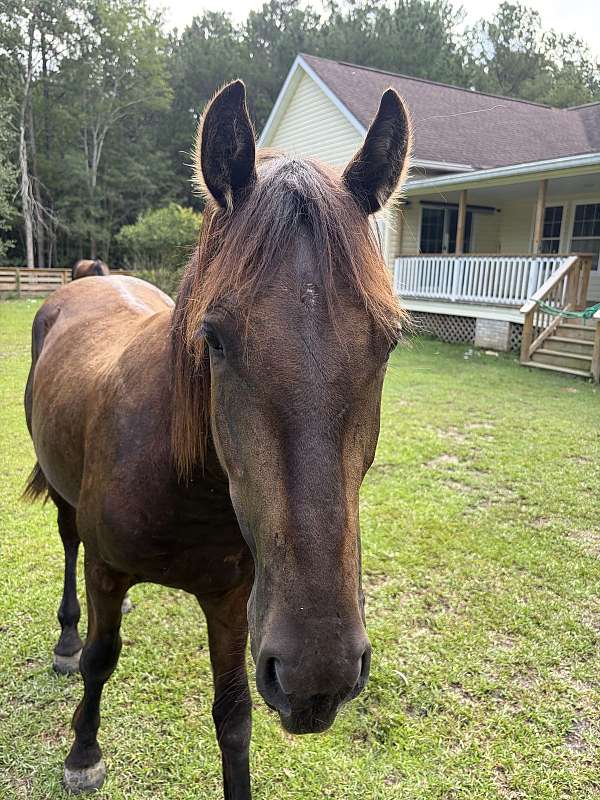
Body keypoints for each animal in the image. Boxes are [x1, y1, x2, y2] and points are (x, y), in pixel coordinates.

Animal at [23, 80, 411, 798]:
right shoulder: (106, 570)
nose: (319, 674)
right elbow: (100, 660)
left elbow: (233, 717)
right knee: (67, 548)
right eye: (216, 338)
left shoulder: (233, 602)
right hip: (63, 498)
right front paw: (83, 750)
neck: (182, 485)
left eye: (389, 340)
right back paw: (63, 640)